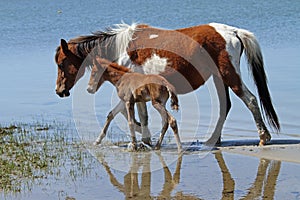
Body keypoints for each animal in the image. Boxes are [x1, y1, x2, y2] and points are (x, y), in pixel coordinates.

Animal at [54, 22, 282, 147]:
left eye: (61, 63)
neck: (121, 48)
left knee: (250, 100)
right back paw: (213, 140)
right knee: (226, 106)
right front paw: (143, 136)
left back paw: (263, 137)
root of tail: (234, 32)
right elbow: (130, 113)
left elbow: (131, 114)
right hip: (219, 78)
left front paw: (142, 137)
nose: (59, 91)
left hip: (229, 76)